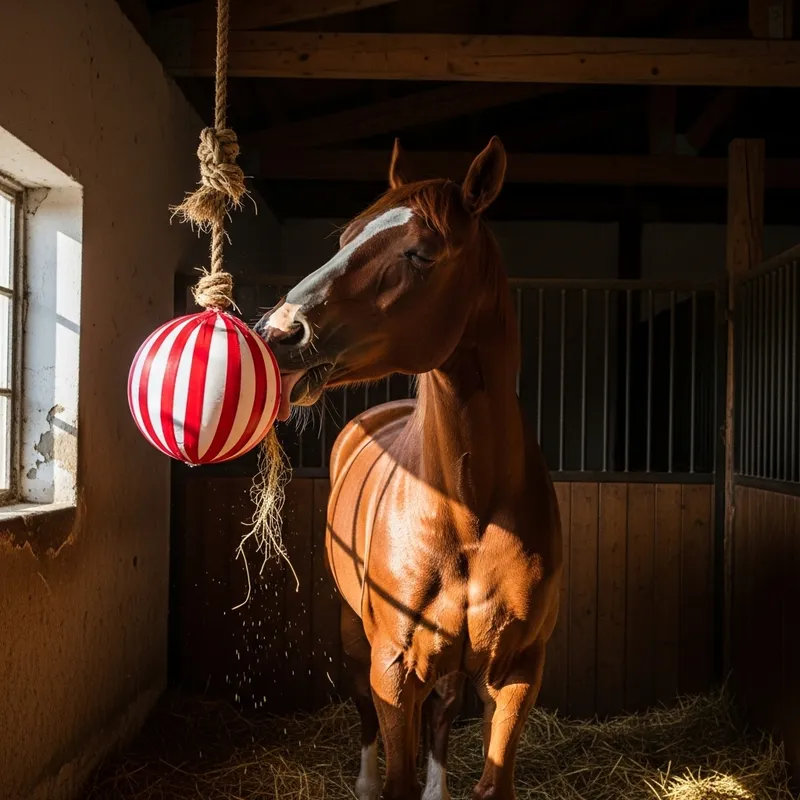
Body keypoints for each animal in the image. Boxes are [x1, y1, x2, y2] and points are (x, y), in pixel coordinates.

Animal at [256, 137, 562, 800]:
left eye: (420, 253)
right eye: (346, 238)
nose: (279, 331)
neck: (469, 512)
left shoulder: (519, 671)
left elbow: (488, 773)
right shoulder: (394, 666)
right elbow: (391, 745)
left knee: (442, 714)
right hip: (356, 636)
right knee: (365, 711)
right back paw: (365, 780)